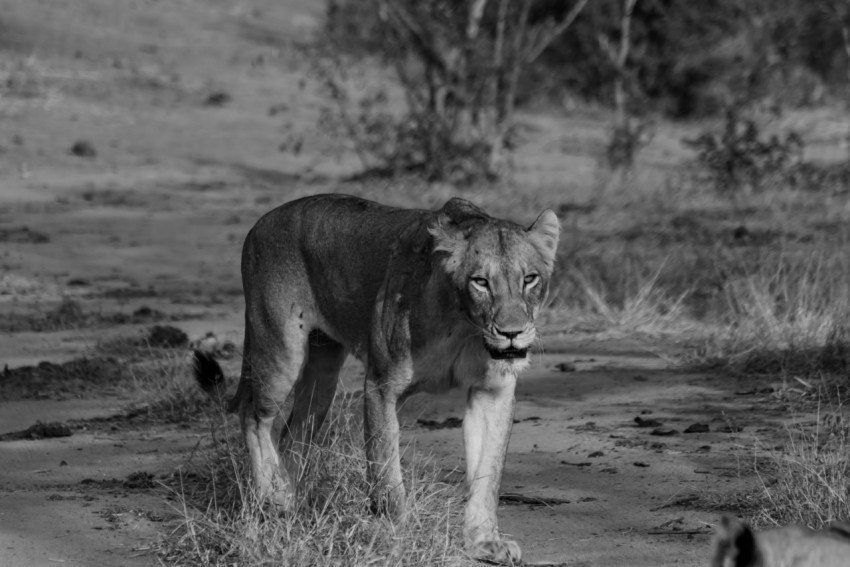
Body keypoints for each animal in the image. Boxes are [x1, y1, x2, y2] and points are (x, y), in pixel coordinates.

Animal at [192, 193, 560, 564]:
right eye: (480, 282)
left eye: (530, 279)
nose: (512, 333)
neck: (465, 328)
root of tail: (260, 223)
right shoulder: (381, 386)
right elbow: (386, 470)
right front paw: (399, 538)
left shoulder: (492, 391)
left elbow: (488, 473)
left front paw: (484, 541)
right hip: (278, 350)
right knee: (254, 416)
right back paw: (274, 496)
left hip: (323, 372)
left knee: (292, 435)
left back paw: (293, 508)